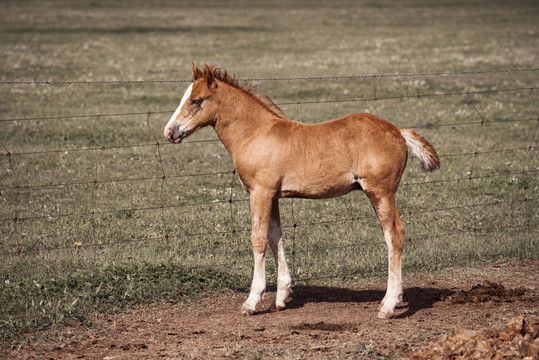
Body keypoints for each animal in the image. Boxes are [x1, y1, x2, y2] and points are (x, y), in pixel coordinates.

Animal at [167, 63, 440, 320]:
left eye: (196, 100)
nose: (170, 132)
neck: (255, 133)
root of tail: (398, 131)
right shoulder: (273, 196)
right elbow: (275, 237)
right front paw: (281, 298)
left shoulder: (260, 192)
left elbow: (258, 239)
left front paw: (252, 301)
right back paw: (393, 298)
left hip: (380, 192)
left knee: (395, 234)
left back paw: (388, 306)